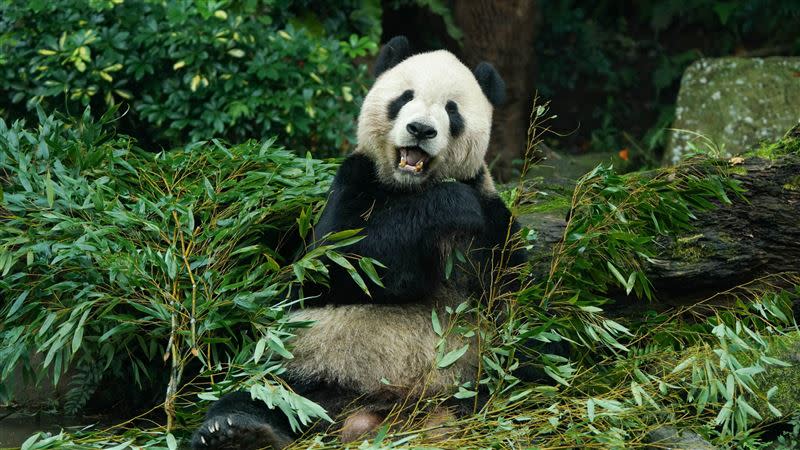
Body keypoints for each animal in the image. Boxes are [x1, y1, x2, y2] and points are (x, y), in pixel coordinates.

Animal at [191, 36, 528, 450]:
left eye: (452, 110)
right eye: (404, 97)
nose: (420, 129)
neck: (409, 187)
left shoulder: (493, 217)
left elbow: (512, 294)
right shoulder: (354, 182)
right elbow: (335, 265)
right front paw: (449, 205)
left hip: (468, 381)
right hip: (305, 365)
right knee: (264, 393)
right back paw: (235, 432)